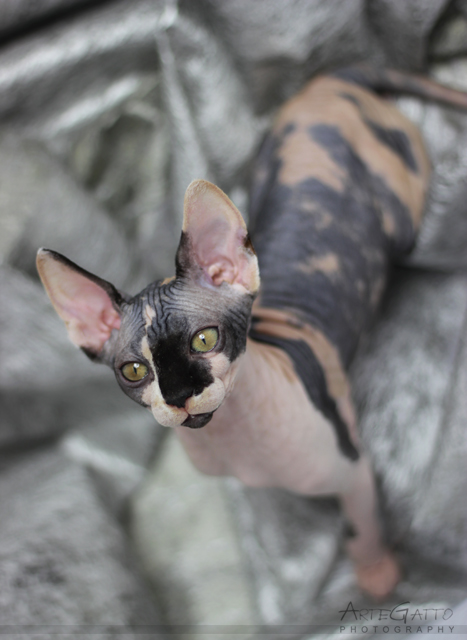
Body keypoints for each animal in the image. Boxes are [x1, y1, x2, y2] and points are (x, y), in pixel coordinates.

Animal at [36, 67, 467, 600]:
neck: (236, 443)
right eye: (134, 370)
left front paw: (375, 573)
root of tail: (330, 80)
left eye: (205, 339)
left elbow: (362, 525)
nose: (178, 395)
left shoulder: (354, 470)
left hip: (406, 212)